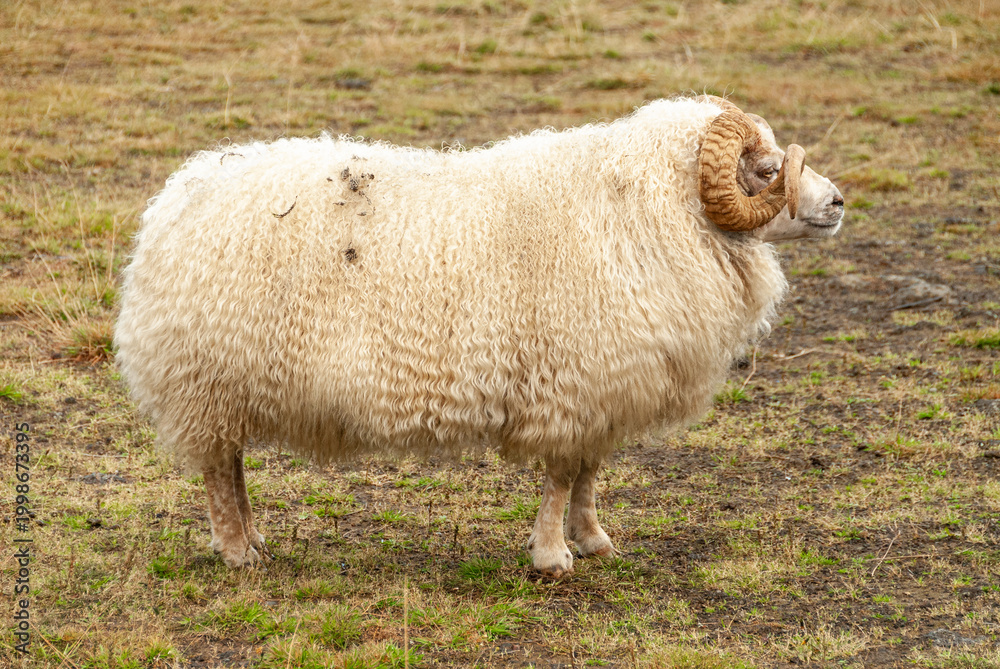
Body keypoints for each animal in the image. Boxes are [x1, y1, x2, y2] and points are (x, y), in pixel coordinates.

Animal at [115, 95, 844, 578]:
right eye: (764, 168)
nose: (838, 202)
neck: (643, 214)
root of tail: (175, 198)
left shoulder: (600, 387)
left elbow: (589, 470)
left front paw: (593, 538)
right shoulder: (569, 383)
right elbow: (560, 474)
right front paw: (552, 556)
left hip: (221, 381)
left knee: (231, 466)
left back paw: (252, 540)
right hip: (207, 376)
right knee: (218, 470)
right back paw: (238, 551)